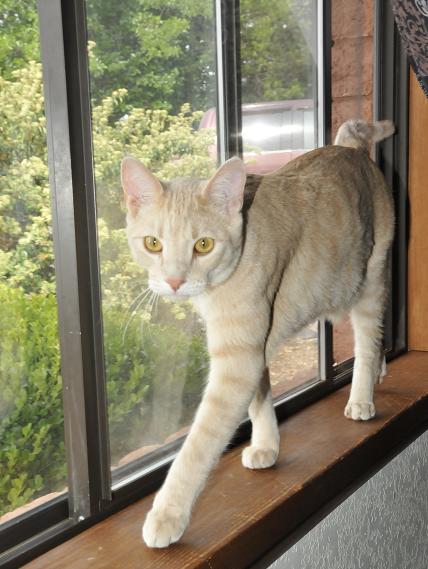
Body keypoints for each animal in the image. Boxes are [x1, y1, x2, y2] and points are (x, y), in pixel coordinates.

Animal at [120, 118, 394, 544]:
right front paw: (267, 446)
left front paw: (167, 514)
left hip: (370, 282)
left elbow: (199, 445)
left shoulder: (238, 362)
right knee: (378, 337)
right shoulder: (252, 348)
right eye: (152, 243)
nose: (174, 281)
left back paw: (362, 397)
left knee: (368, 342)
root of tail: (348, 148)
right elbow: (260, 399)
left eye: (203, 244)